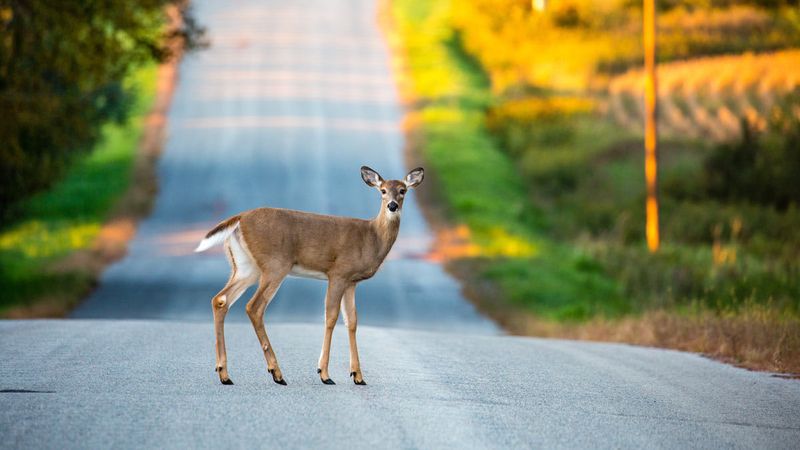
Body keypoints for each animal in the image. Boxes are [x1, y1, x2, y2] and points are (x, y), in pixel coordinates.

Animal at [194, 166, 424, 386]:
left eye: (402, 190)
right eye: (382, 191)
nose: (392, 206)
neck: (372, 237)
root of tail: (239, 219)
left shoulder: (352, 282)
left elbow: (352, 321)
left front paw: (358, 376)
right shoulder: (338, 272)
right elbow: (330, 317)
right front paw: (324, 374)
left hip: (245, 266)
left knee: (220, 300)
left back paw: (225, 374)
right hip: (275, 265)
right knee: (254, 307)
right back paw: (276, 373)